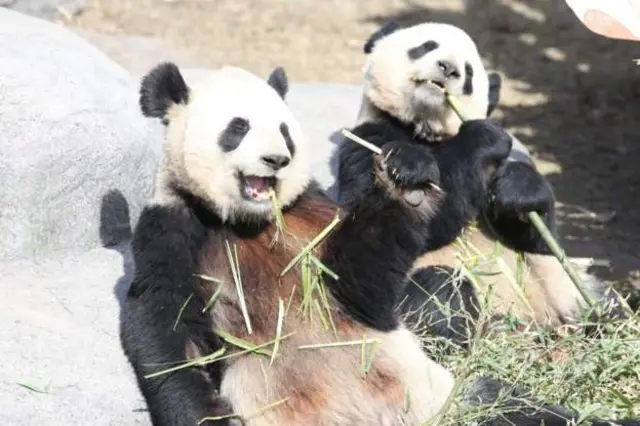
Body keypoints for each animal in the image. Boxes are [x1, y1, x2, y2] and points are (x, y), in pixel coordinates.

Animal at [118, 61, 639, 426]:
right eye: (238, 127)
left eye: (285, 131)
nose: (276, 160)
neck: (253, 223)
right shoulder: (173, 227)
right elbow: (167, 328)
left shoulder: (312, 213)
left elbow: (359, 282)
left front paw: (405, 175)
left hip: (445, 398)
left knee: (523, 410)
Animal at [338, 21, 627, 347]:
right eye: (426, 46)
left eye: (468, 73)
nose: (448, 69)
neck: (425, 131)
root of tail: (528, 329)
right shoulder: (369, 139)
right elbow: (408, 222)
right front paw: (417, 162)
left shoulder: (492, 174)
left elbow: (535, 237)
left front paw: (518, 189)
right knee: (439, 293)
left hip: (562, 290)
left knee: (605, 300)